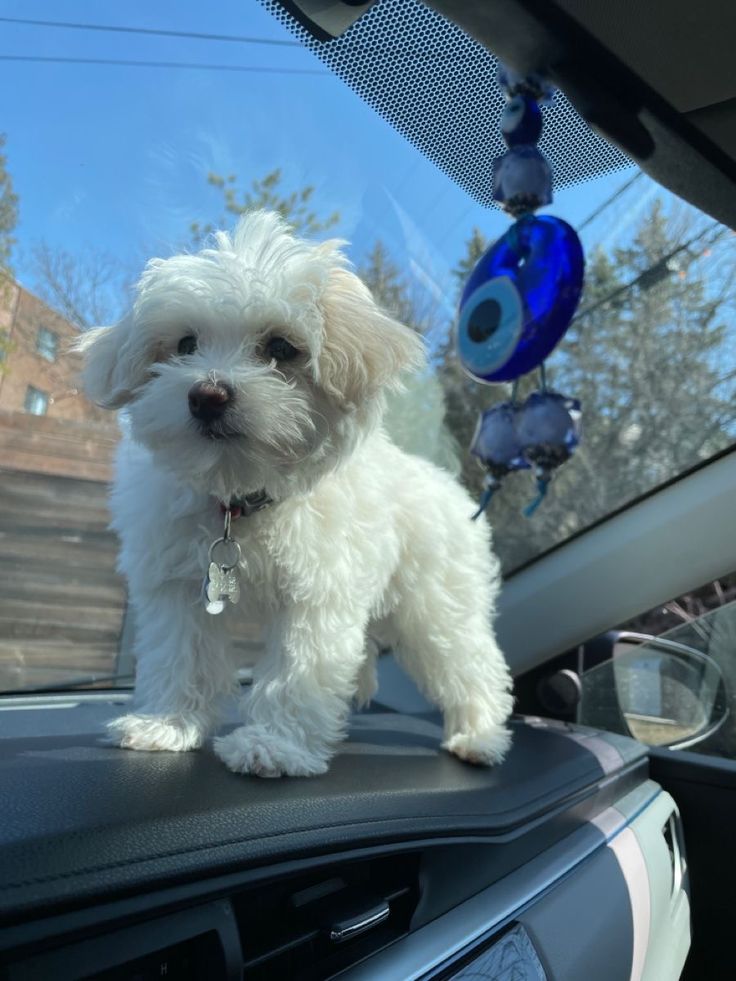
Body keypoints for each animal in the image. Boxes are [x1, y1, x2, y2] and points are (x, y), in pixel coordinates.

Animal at [75, 212, 512, 772]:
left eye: (281, 348)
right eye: (185, 345)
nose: (206, 395)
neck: (240, 497)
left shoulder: (318, 592)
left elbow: (300, 667)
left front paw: (273, 744)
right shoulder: (178, 588)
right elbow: (182, 655)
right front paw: (167, 724)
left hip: (436, 605)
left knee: (469, 663)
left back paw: (480, 735)